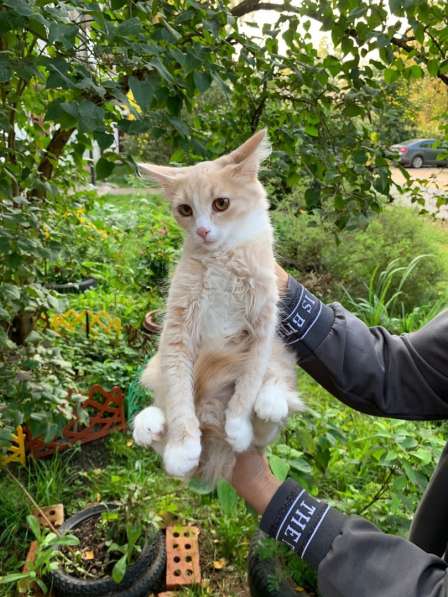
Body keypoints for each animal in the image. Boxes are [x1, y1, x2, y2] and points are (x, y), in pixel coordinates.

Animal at [131, 130, 302, 484]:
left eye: (221, 204)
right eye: (185, 209)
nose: (202, 230)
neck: (223, 259)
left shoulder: (264, 324)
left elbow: (249, 380)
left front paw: (237, 425)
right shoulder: (177, 329)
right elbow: (178, 393)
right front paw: (182, 447)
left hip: (280, 353)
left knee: (271, 415)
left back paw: (270, 403)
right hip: (155, 364)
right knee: (161, 396)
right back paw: (148, 423)